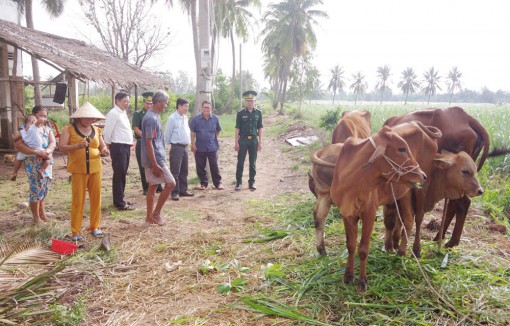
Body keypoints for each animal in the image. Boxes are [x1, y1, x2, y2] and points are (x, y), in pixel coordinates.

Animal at [328, 126, 424, 292]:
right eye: (401, 148)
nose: (423, 175)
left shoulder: (369, 213)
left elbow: (363, 249)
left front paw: (362, 281)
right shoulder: (347, 214)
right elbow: (351, 245)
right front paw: (348, 276)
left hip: (414, 193)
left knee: (413, 220)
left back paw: (405, 252)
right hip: (399, 196)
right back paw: (392, 247)